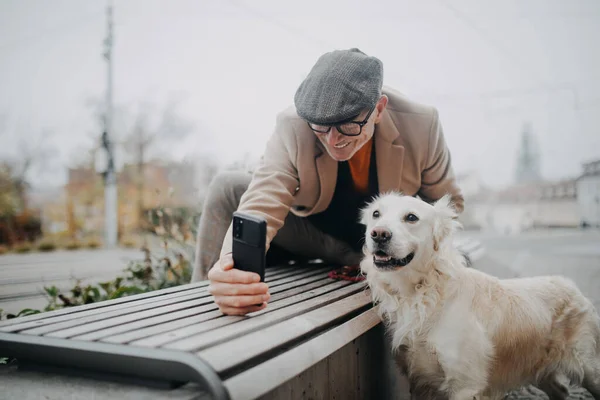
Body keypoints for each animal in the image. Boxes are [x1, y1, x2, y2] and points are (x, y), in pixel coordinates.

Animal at [358, 192, 596, 398]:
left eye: (411, 217)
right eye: (376, 214)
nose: (378, 234)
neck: (426, 292)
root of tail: (572, 286)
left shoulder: (465, 385)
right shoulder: (420, 380)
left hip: (591, 369)